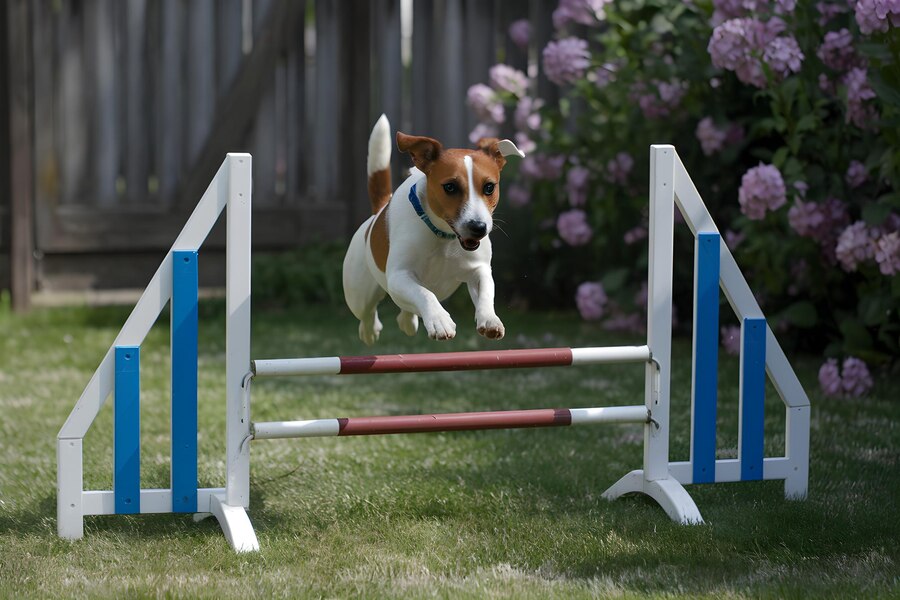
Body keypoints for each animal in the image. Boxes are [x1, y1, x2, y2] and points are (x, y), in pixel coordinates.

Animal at [344, 114, 528, 344]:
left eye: (489, 187)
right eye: (450, 187)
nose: (478, 227)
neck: (444, 237)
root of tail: (376, 213)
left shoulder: (478, 267)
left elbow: (486, 287)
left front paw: (490, 319)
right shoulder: (399, 275)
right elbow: (424, 293)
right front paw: (440, 320)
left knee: (404, 311)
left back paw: (407, 323)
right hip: (359, 292)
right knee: (366, 313)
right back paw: (370, 331)